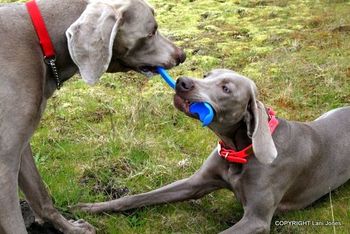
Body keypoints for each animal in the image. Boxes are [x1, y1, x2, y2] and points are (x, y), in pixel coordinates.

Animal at [0, 0, 186, 234]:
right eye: (152, 31)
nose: (182, 55)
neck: (41, 42)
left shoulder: (21, 145)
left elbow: (42, 196)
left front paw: (72, 228)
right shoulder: (5, 160)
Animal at [75, 69, 350, 234]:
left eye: (226, 88)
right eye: (207, 74)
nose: (182, 81)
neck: (239, 150)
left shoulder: (257, 220)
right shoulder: (194, 183)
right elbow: (137, 198)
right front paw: (88, 208)